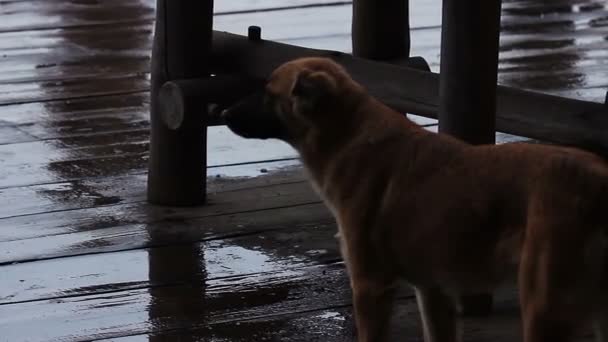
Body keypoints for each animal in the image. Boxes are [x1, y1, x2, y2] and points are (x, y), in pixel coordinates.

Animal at [223, 57, 608, 340]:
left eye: (267, 93)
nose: (222, 113)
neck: (348, 136)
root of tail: (599, 181)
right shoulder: (433, 290)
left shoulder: (370, 287)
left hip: (545, 307)